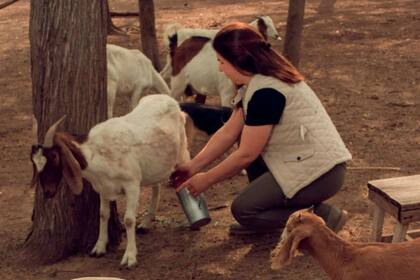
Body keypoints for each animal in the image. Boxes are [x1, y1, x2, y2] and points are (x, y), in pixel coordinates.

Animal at [31, 95, 190, 268]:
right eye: (34, 162)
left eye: (54, 157)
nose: (48, 192)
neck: (97, 154)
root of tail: (170, 100)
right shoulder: (103, 188)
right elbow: (103, 214)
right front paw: (99, 247)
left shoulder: (132, 184)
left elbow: (128, 220)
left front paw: (130, 257)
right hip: (155, 165)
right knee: (156, 186)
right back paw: (146, 223)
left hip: (182, 153)